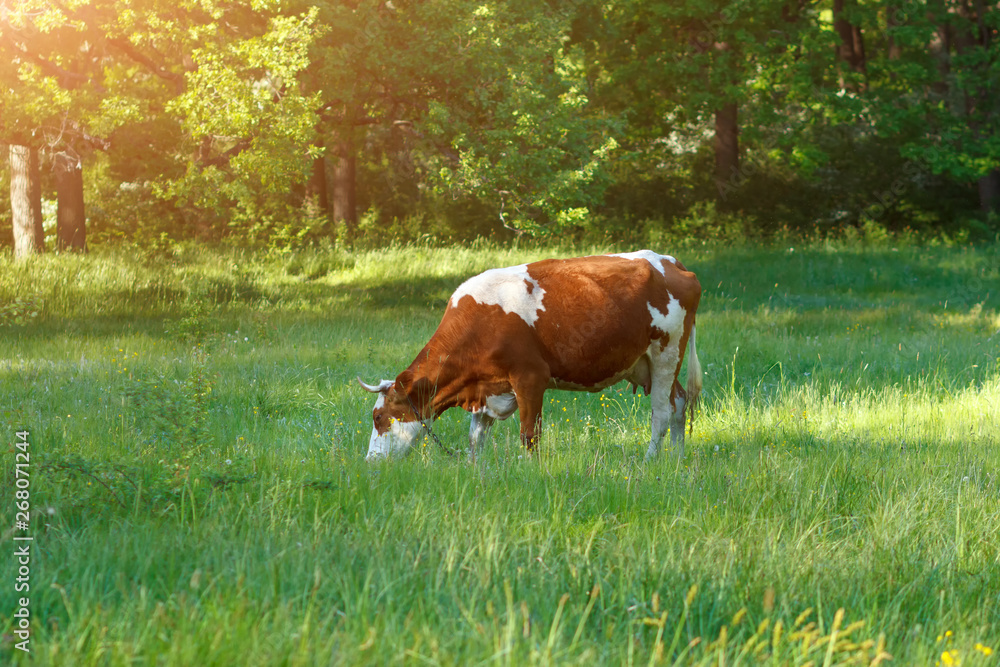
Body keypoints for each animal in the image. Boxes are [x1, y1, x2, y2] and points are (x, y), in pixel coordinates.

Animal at [360, 248, 704, 462]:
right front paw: (474, 470)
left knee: (661, 414)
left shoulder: (530, 378)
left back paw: (649, 461)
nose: (370, 462)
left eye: (379, 418)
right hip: (649, 363)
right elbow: (476, 437)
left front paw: (531, 472)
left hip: (666, 352)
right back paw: (678, 459)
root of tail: (668, 260)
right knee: (679, 403)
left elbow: (529, 435)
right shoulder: (487, 388)